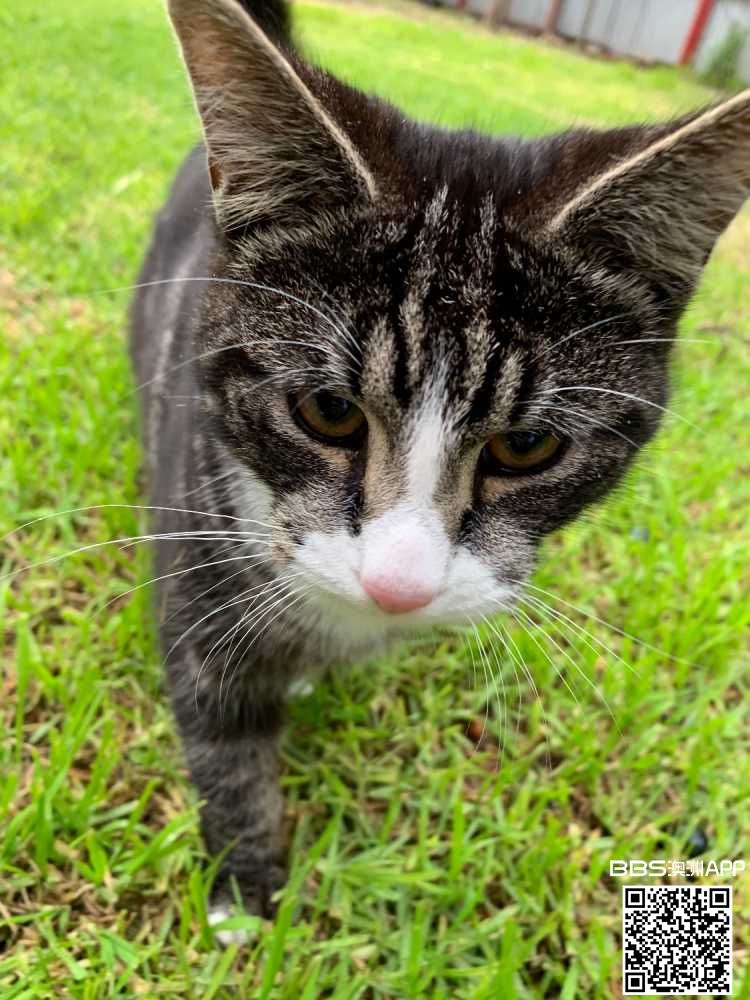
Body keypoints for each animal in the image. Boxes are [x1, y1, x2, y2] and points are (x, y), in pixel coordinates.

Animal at [130, 0, 750, 935]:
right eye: (327, 410)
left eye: (527, 447)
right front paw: (243, 891)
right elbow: (220, 727)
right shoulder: (200, 544)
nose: (399, 587)